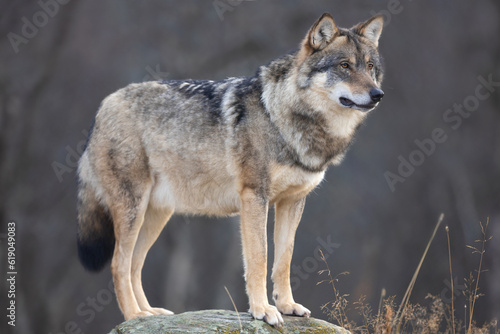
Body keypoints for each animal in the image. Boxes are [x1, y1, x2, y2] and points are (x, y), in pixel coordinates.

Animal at [76, 13, 384, 326]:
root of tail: (104, 105)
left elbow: (284, 259)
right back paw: (133, 316)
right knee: (118, 264)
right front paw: (263, 310)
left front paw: (287, 306)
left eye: (370, 67)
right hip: (133, 210)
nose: (378, 94)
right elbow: (259, 258)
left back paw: (149, 314)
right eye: (344, 66)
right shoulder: (254, 197)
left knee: (135, 265)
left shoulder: (293, 201)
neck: (283, 116)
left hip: (156, 216)